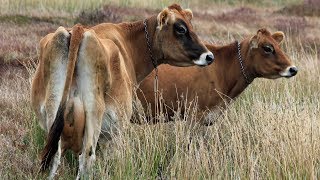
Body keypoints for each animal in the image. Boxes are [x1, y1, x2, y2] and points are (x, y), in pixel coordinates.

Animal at [31, 3, 214, 179]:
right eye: (181, 29)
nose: (209, 56)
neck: (128, 46)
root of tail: (79, 29)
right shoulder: (112, 133)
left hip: (53, 112)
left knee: (55, 157)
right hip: (94, 114)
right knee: (87, 158)